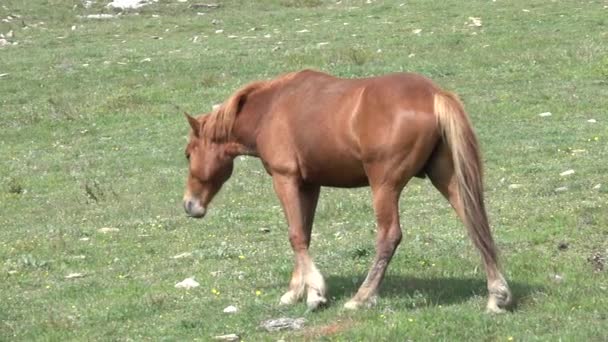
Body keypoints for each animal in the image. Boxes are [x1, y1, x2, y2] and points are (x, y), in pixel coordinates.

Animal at [182, 69, 512, 312]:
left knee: (389, 236)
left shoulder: (285, 179)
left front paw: (315, 292)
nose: (189, 205)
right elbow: (304, 233)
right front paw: (296, 291)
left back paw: (362, 297)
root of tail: (433, 95)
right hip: (448, 178)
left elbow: (295, 235)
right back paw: (497, 295)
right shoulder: (309, 184)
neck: (271, 109)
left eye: (187, 154)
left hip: (384, 187)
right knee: (476, 225)